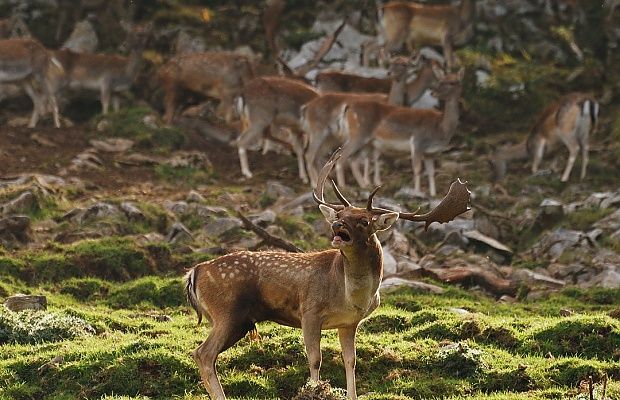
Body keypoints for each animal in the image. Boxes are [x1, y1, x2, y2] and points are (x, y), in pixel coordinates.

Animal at [184, 148, 470, 398]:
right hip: (228, 312)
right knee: (203, 354)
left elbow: (350, 360)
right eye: (341, 213)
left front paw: (351, 395)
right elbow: (315, 359)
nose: (337, 224)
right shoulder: (309, 311)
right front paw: (314, 390)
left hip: (239, 320)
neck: (351, 295)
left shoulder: (349, 323)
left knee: (205, 354)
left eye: (364, 221)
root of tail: (195, 271)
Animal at [336, 66, 462, 197]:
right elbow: (417, 169)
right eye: (440, 80)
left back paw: (364, 186)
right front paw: (417, 192)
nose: (433, 92)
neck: (441, 128)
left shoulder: (431, 153)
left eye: (452, 82)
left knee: (353, 161)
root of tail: (348, 107)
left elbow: (431, 172)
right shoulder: (417, 142)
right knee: (342, 157)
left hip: (367, 142)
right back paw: (344, 187)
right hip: (358, 135)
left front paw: (433, 194)